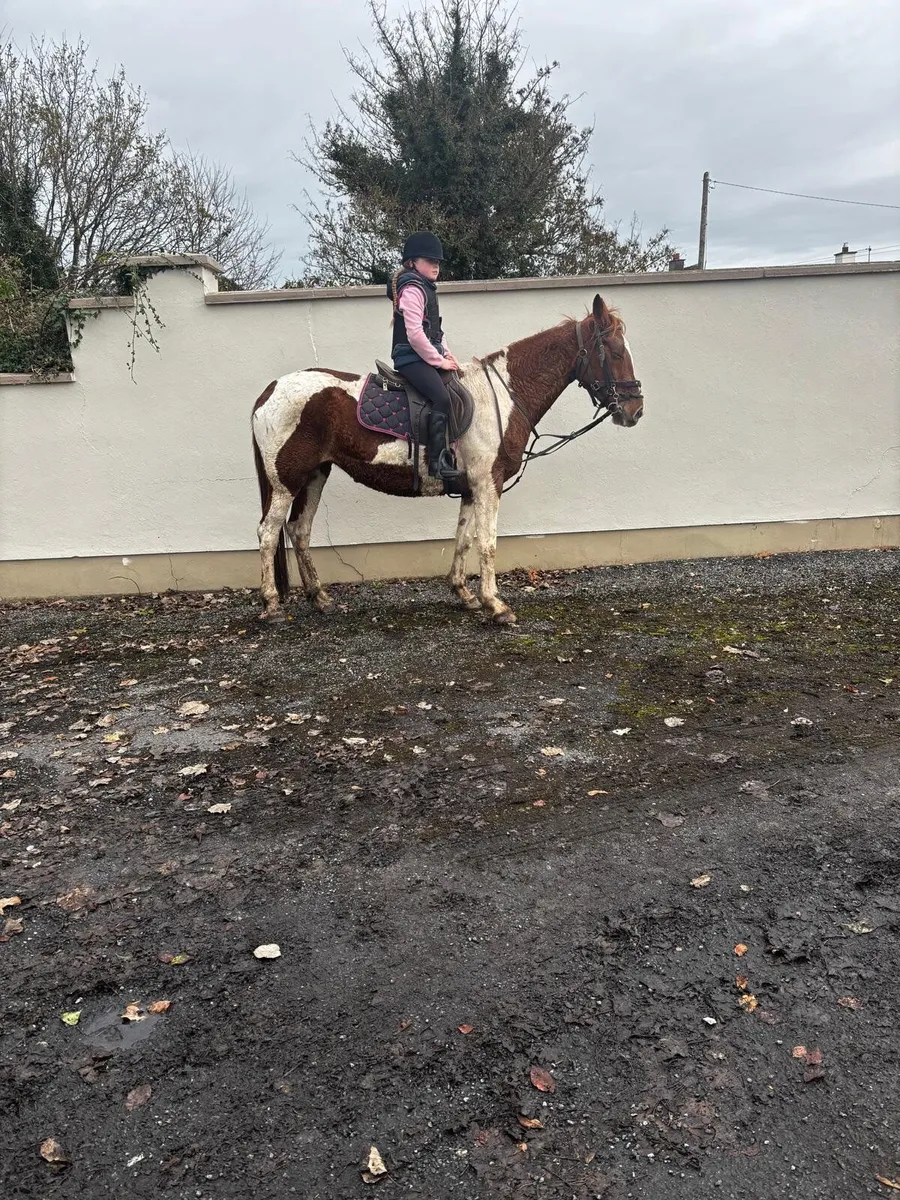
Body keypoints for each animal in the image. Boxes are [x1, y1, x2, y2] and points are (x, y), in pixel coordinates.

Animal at [251, 293, 644, 626]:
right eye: (613, 350)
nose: (635, 411)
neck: (504, 395)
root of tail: (270, 389)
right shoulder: (488, 483)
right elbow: (487, 542)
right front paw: (496, 605)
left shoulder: (471, 486)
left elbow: (464, 538)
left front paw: (465, 594)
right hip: (285, 481)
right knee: (269, 533)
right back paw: (272, 605)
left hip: (316, 474)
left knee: (299, 530)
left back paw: (321, 598)